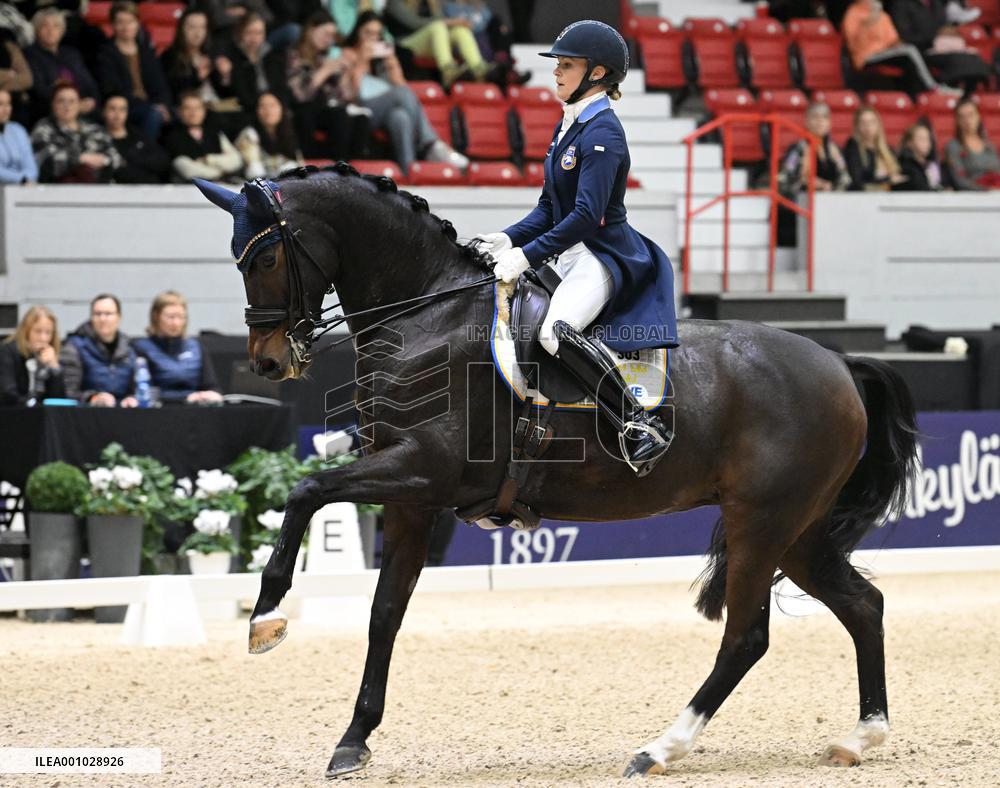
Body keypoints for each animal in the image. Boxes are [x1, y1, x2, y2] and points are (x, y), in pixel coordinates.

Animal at [195, 163, 918, 779]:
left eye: (264, 257)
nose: (266, 362)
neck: (428, 313)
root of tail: (839, 362)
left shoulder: (423, 471)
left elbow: (307, 490)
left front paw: (266, 616)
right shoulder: (410, 501)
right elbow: (384, 613)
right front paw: (353, 740)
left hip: (763, 522)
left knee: (748, 636)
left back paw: (660, 747)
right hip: (797, 530)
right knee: (864, 605)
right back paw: (861, 736)